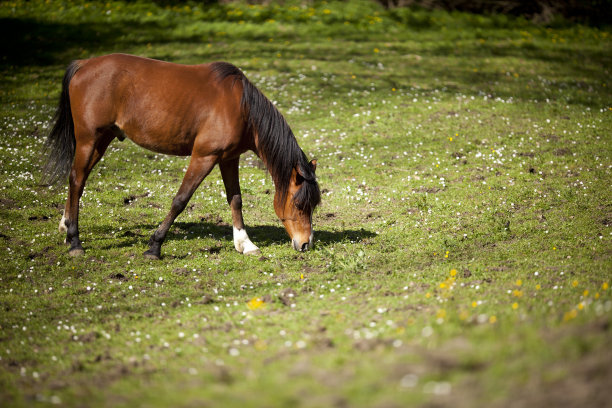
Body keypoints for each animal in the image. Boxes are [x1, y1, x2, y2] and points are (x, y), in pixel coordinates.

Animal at [43, 53, 320, 258]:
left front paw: (245, 243)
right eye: (299, 204)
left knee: (77, 181)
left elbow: (236, 199)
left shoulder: (228, 159)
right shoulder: (204, 156)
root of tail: (83, 65)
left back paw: (66, 227)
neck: (241, 108)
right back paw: (75, 242)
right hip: (89, 140)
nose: (306, 244)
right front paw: (155, 246)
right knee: (77, 180)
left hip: (101, 140)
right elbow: (180, 200)